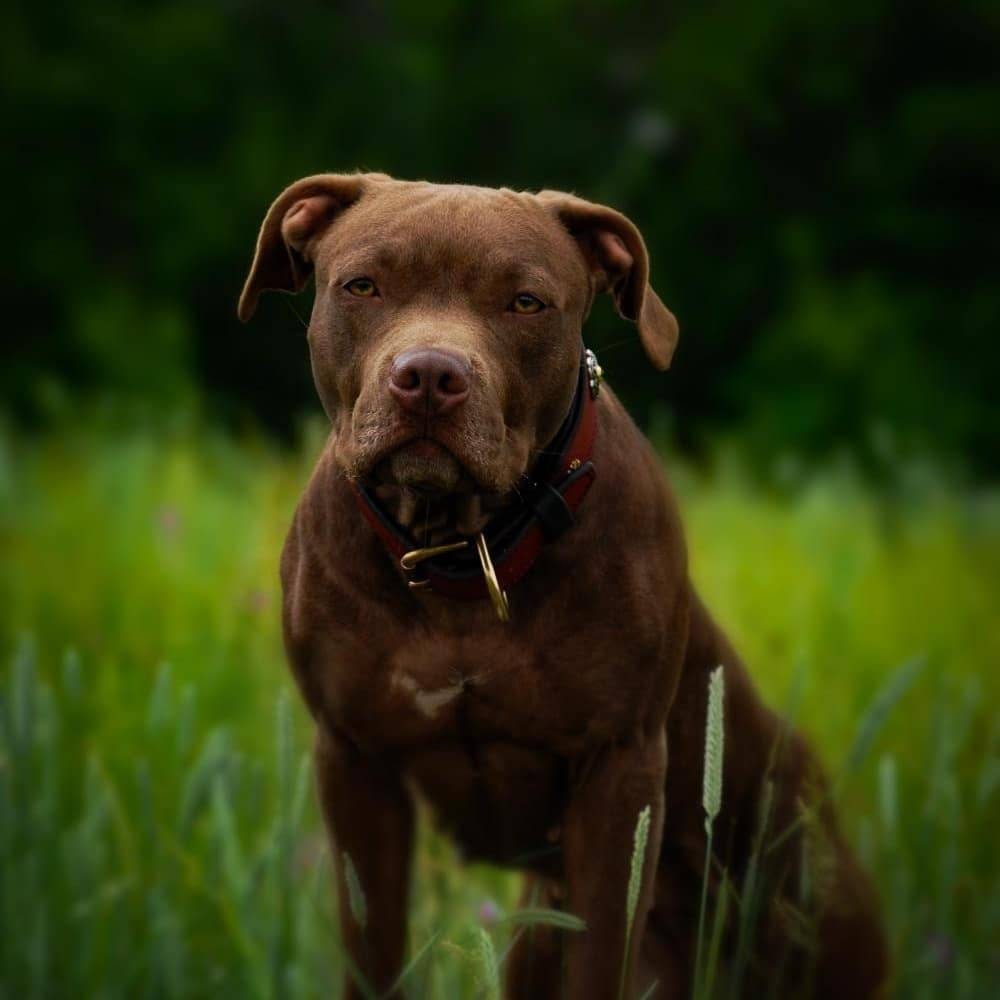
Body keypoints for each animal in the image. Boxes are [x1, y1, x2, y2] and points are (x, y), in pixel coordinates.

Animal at [238, 176, 888, 996]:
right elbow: (373, 947)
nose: (429, 377)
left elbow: (603, 949)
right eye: (362, 286)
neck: (464, 550)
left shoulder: (619, 772)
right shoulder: (355, 762)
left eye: (525, 302)